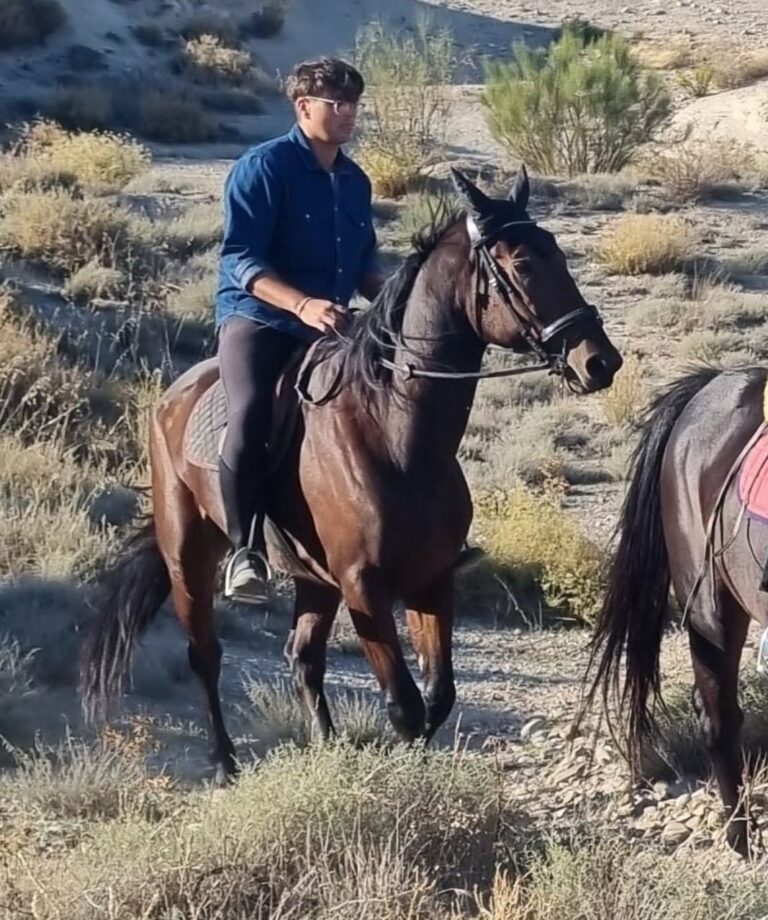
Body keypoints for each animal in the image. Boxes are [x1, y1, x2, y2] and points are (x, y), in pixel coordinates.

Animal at [81, 166, 622, 782]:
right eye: (523, 264)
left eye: (558, 253)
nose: (599, 361)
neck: (396, 436)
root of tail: (175, 394)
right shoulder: (365, 587)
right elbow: (405, 707)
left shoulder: (431, 580)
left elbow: (437, 698)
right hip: (187, 554)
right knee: (206, 655)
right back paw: (224, 763)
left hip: (315, 580)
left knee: (303, 658)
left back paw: (325, 747)